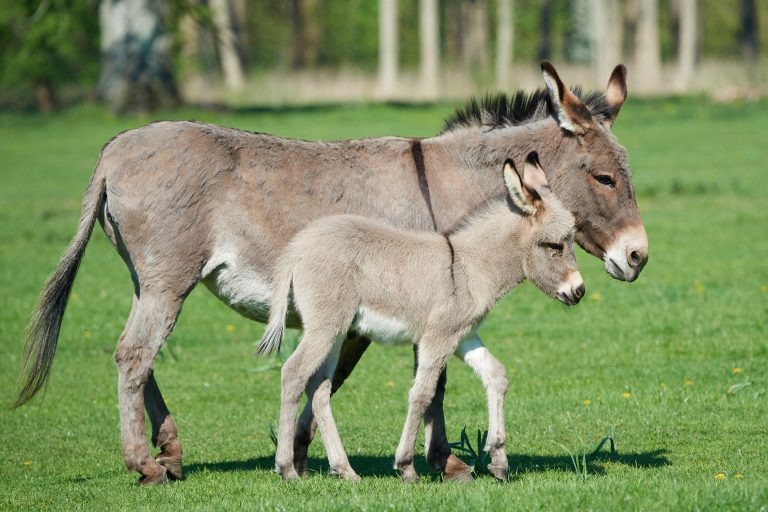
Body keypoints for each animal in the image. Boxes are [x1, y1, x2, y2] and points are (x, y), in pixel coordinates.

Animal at [258, 154, 584, 482]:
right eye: (554, 245)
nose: (579, 291)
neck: (469, 266)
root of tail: (297, 248)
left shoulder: (464, 336)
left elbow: (496, 375)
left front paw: (498, 460)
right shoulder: (438, 337)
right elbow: (423, 393)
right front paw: (405, 465)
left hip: (335, 330)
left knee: (319, 387)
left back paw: (345, 469)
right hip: (324, 327)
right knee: (293, 373)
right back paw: (287, 467)